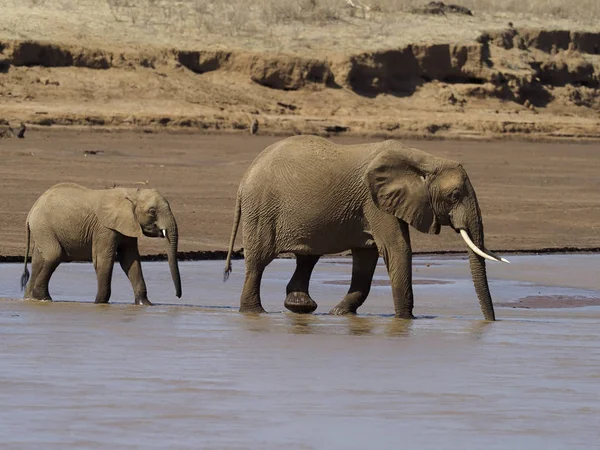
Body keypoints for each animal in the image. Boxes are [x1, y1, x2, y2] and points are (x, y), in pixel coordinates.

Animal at [21, 183, 182, 306]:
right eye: (152, 211)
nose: (177, 296)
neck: (130, 193)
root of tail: (32, 209)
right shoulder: (104, 228)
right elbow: (103, 260)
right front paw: (100, 304)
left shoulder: (128, 224)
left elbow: (130, 260)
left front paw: (146, 305)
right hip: (43, 226)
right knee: (53, 255)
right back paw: (43, 298)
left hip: (41, 229)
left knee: (38, 260)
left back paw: (31, 298)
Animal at [224, 134, 506, 320]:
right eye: (454, 196)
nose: (491, 322)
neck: (424, 159)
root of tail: (245, 178)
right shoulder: (374, 202)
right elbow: (397, 250)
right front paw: (405, 321)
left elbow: (366, 258)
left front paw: (339, 313)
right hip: (261, 209)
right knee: (258, 262)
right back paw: (255, 312)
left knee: (307, 257)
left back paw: (302, 307)